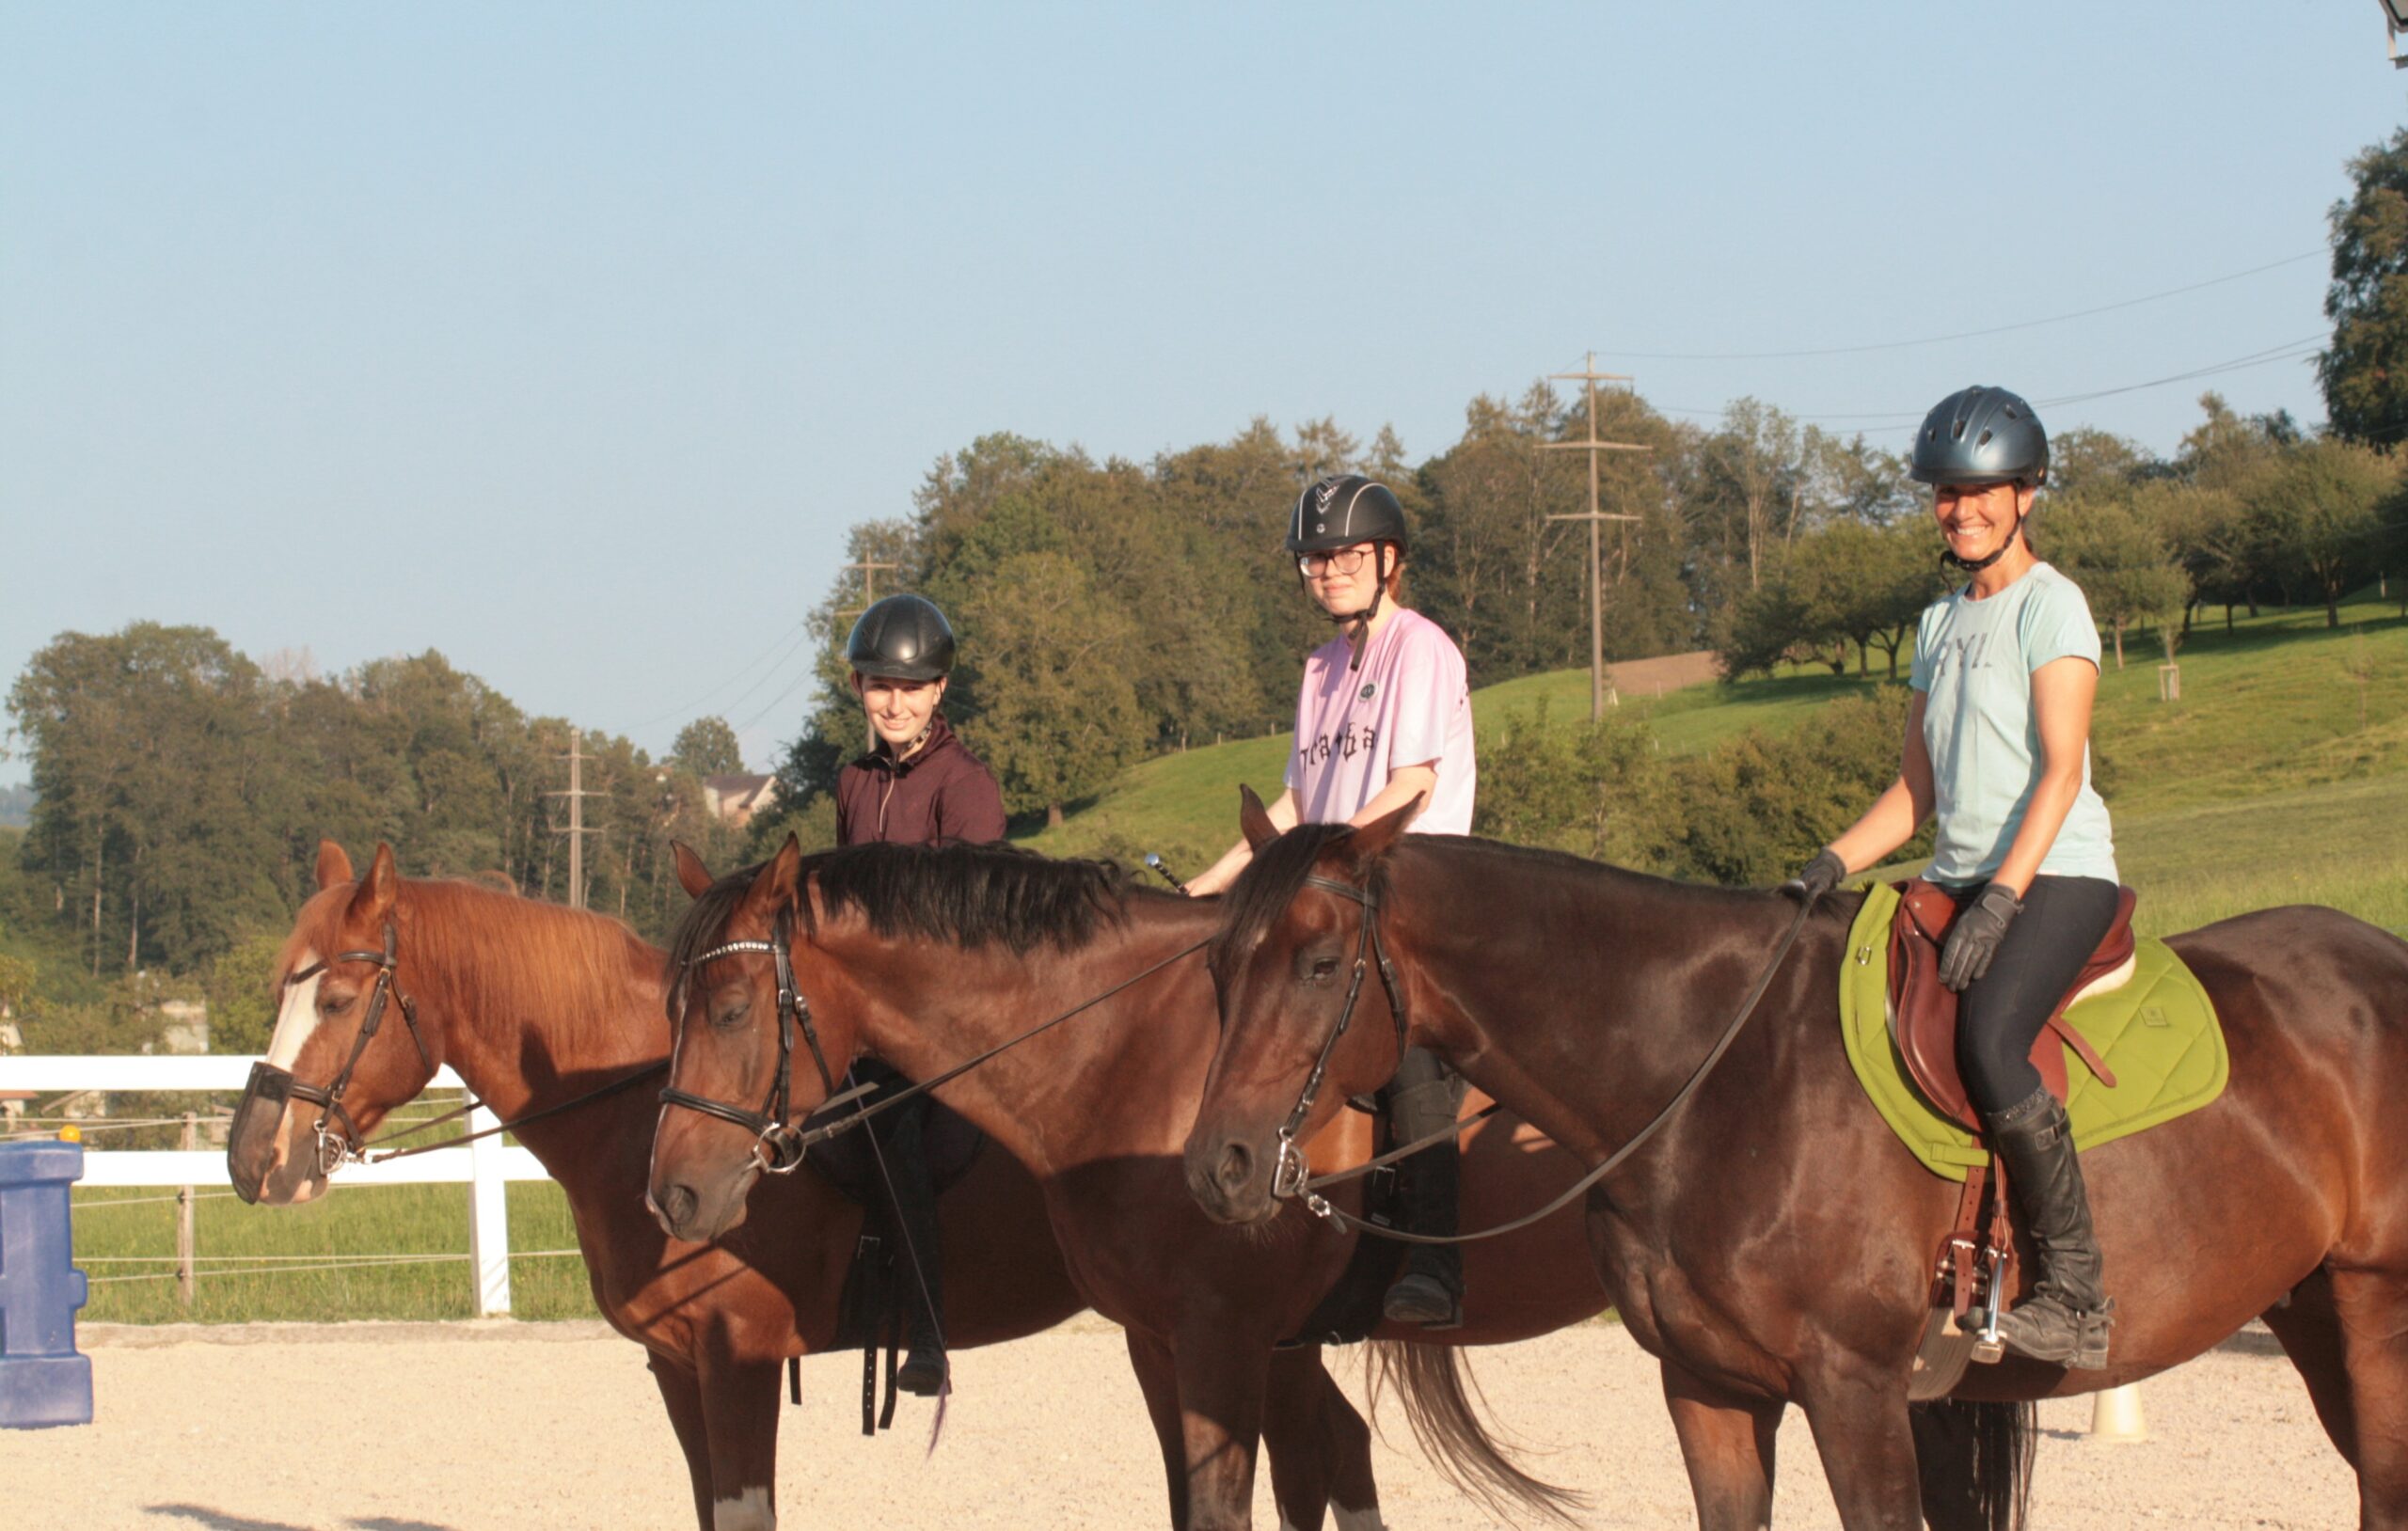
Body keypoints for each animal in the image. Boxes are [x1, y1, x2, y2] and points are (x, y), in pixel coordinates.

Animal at [225, 840, 1093, 1531]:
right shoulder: (677, 1364)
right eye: (278, 992)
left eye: (337, 1000)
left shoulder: (739, 1358)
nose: (251, 1158)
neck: (646, 1113)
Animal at [645, 836, 1619, 1531]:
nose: (672, 1192)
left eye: (731, 1009)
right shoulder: (1158, 1343)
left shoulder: (1224, 1339)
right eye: (671, 1009)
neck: (1133, 1053)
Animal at [1183, 794, 2408, 1531]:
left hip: (2373, 1313)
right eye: (1219, 964)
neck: (1711, 1071)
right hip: (2311, 1307)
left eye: (1322, 961)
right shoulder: (1709, 1389)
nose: (1220, 1164)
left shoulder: (1856, 1390)